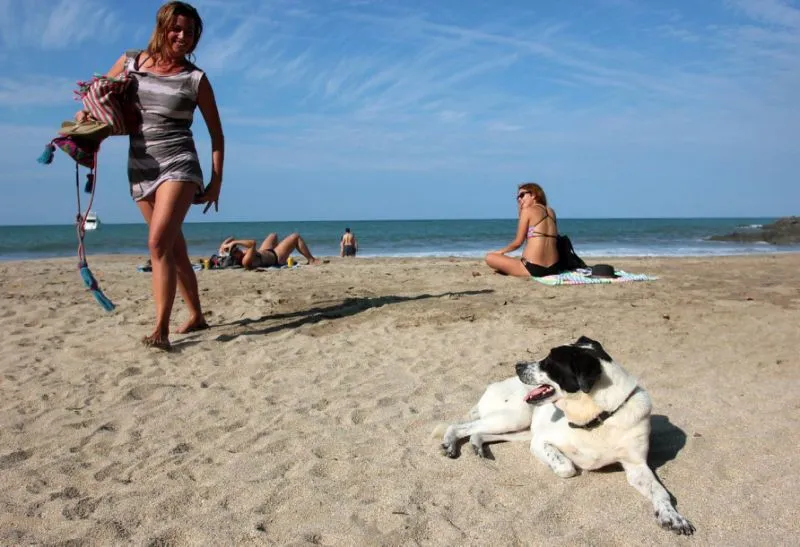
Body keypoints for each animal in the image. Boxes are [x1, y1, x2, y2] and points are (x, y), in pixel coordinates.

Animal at [440, 336, 696, 536]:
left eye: (548, 363)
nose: (518, 365)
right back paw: (449, 443)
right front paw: (563, 464)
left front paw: (673, 517)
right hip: (514, 417)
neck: (599, 417)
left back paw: (477, 446)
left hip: (519, 429)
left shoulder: (637, 466)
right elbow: (566, 467)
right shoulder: (540, 442)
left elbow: (660, 492)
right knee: (459, 426)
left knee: (479, 432)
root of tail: (492, 385)